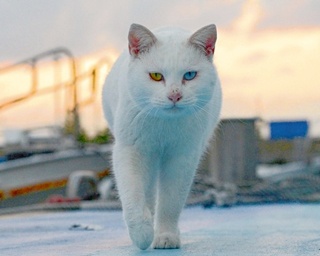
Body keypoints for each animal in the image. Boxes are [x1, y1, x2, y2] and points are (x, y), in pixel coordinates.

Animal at [101, 23, 221, 249]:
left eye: (189, 75)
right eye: (156, 76)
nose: (175, 95)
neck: (164, 126)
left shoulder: (182, 157)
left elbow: (171, 202)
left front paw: (166, 236)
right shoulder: (130, 151)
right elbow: (132, 194)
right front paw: (141, 234)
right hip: (147, 158)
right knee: (146, 190)